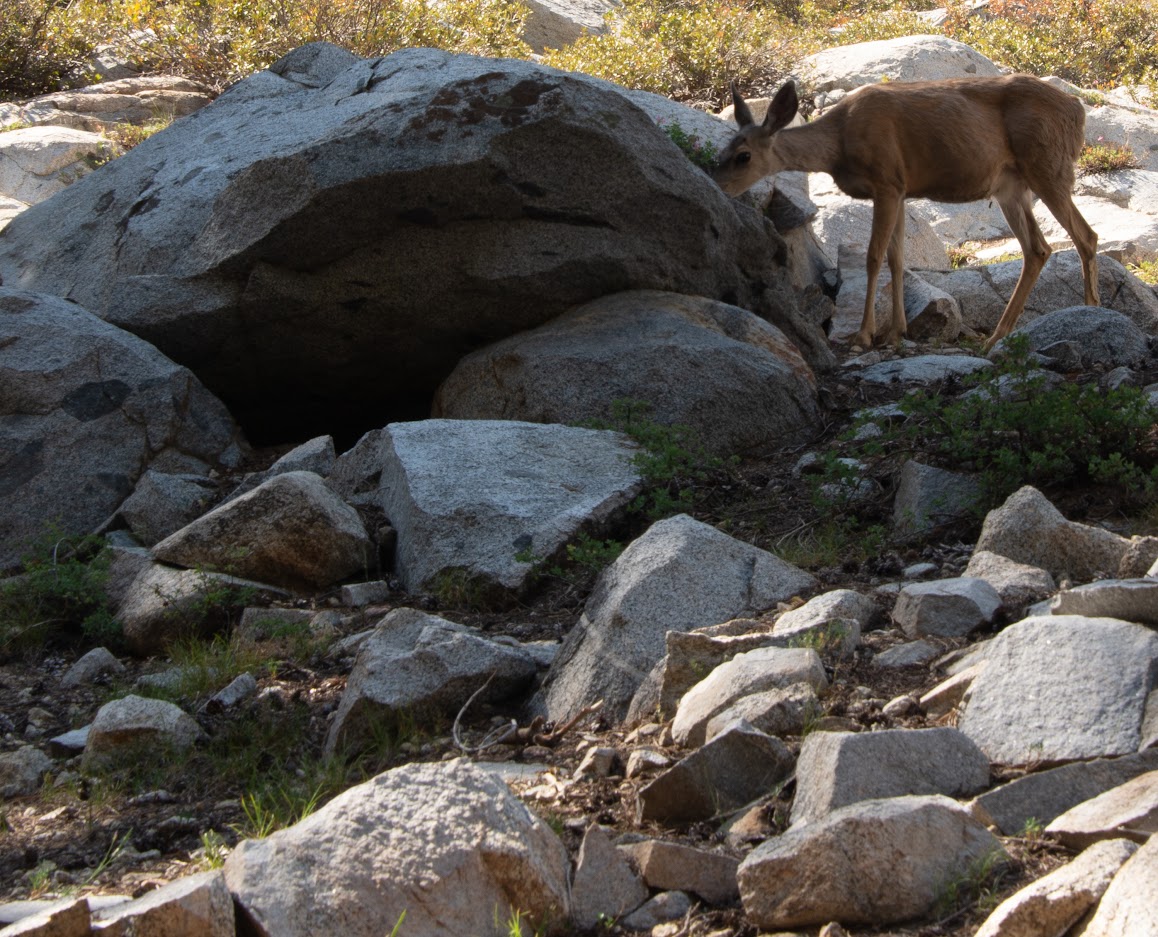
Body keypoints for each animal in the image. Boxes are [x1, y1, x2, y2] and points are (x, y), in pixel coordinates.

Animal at [713, 75, 1102, 352]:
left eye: (743, 156)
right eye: (723, 150)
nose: (716, 183)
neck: (839, 144)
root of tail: (1078, 110)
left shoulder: (885, 181)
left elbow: (873, 257)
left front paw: (863, 336)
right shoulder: (901, 190)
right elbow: (897, 258)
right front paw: (895, 331)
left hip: (1047, 165)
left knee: (1086, 235)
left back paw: (1090, 311)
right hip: (1010, 185)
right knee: (1038, 248)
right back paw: (998, 335)